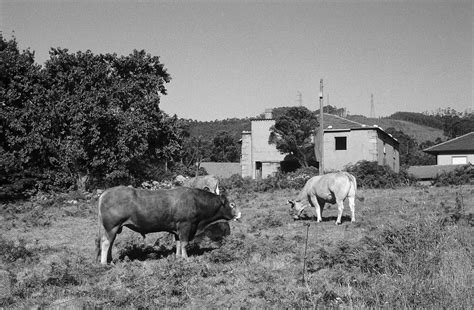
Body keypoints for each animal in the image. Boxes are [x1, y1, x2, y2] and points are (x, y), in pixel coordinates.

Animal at [95, 186, 241, 264]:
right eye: (232, 204)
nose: (239, 214)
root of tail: (105, 193)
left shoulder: (177, 229)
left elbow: (178, 243)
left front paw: (178, 257)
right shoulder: (185, 226)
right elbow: (184, 243)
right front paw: (186, 258)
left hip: (113, 228)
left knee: (109, 243)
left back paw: (110, 260)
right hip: (112, 226)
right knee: (106, 243)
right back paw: (104, 263)